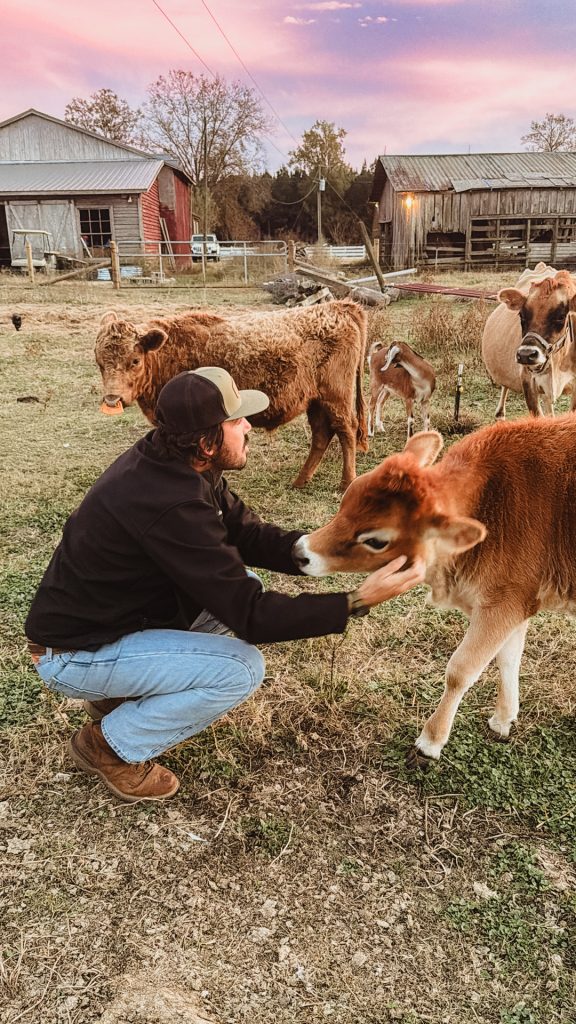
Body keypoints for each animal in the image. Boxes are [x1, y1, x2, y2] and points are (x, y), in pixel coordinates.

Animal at [95, 300, 368, 491]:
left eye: (134, 360)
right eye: (98, 362)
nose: (113, 399)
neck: (168, 352)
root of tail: (339, 307)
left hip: (337, 397)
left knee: (347, 430)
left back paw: (346, 483)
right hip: (316, 402)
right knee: (322, 434)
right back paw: (300, 481)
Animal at [292, 415, 576, 765]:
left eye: (376, 541)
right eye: (348, 497)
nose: (300, 551)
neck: (490, 505)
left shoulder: (503, 604)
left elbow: (461, 670)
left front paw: (430, 741)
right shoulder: (515, 601)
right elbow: (508, 658)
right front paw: (503, 719)